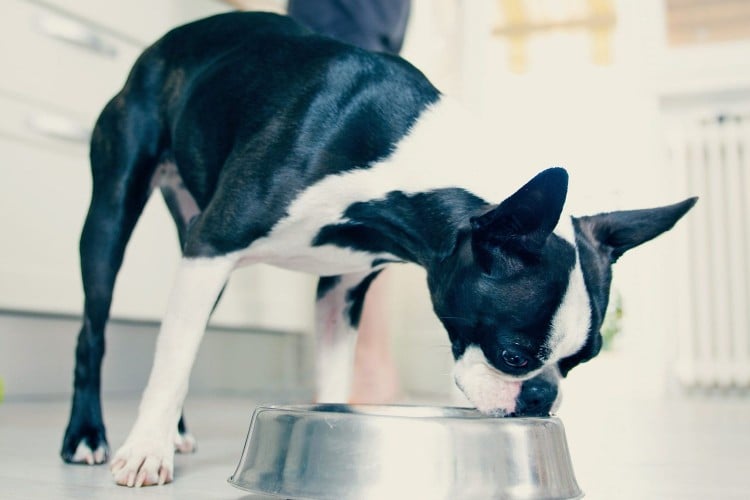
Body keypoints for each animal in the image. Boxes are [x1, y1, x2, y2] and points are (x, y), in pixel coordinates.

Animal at [60, 11, 700, 486]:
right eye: (515, 356)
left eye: (578, 363)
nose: (542, 396)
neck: (399, 166)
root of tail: (161, 45)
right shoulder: (215, 245)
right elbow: (169, 366)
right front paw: (146, 451)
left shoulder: (337, 289)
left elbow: (328, 372)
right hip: (117, 215)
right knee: (95, 332)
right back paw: (92, 437)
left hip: (194, 255)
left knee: (180, 336)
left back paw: (174, 429)